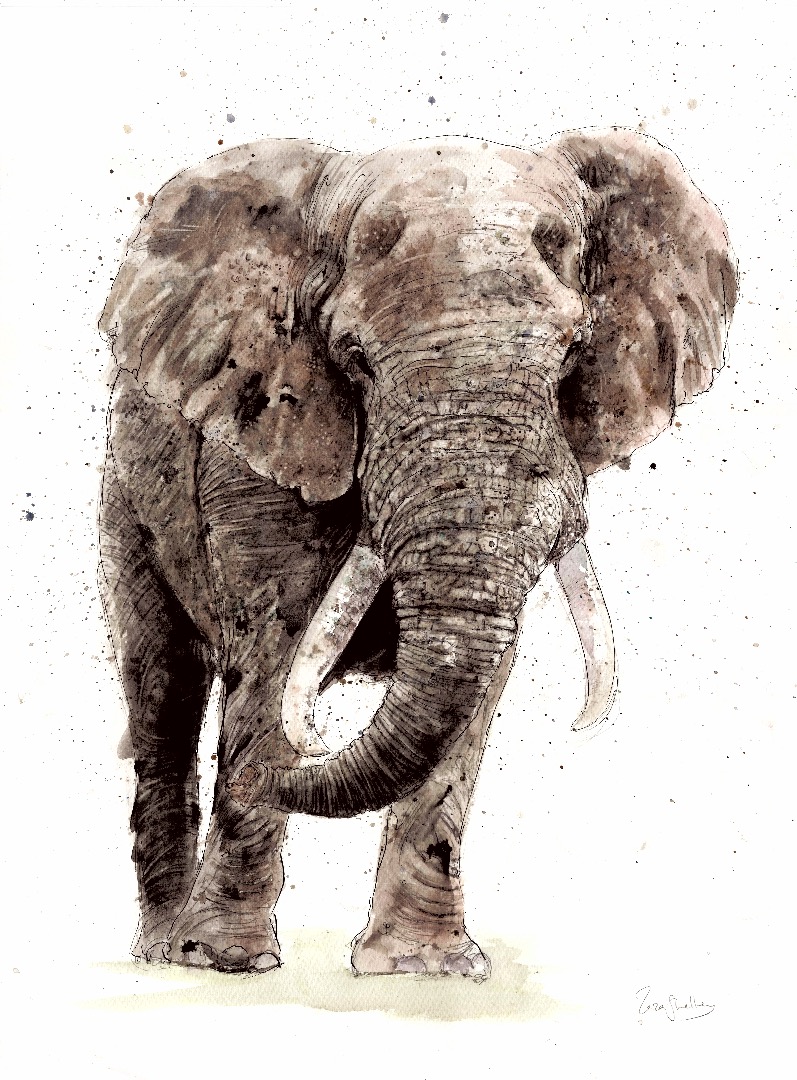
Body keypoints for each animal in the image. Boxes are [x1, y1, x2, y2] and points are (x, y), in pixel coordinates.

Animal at [98, 129, 736, 977]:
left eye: (571, 354)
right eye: (354, 360)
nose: (300, 758)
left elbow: (474, 692)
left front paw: (422, 968)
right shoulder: (260, 448)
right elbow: (270, 662)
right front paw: (224, 961)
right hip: (127, 495)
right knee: (163, 687)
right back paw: (161, 951)